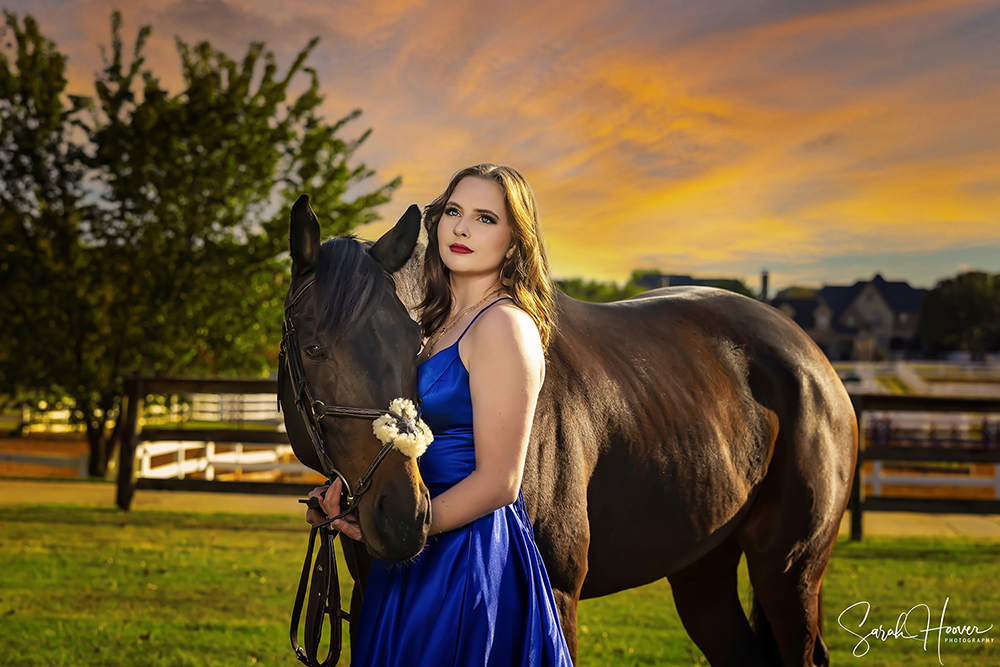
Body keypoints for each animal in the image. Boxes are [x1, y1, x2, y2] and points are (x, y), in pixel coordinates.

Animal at [284, 198, 860, 667]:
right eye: (313, 348)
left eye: (413, 343)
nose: (404, 517)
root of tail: (812, 357)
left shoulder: (559, 595)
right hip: (703, 571)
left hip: (789, 572)